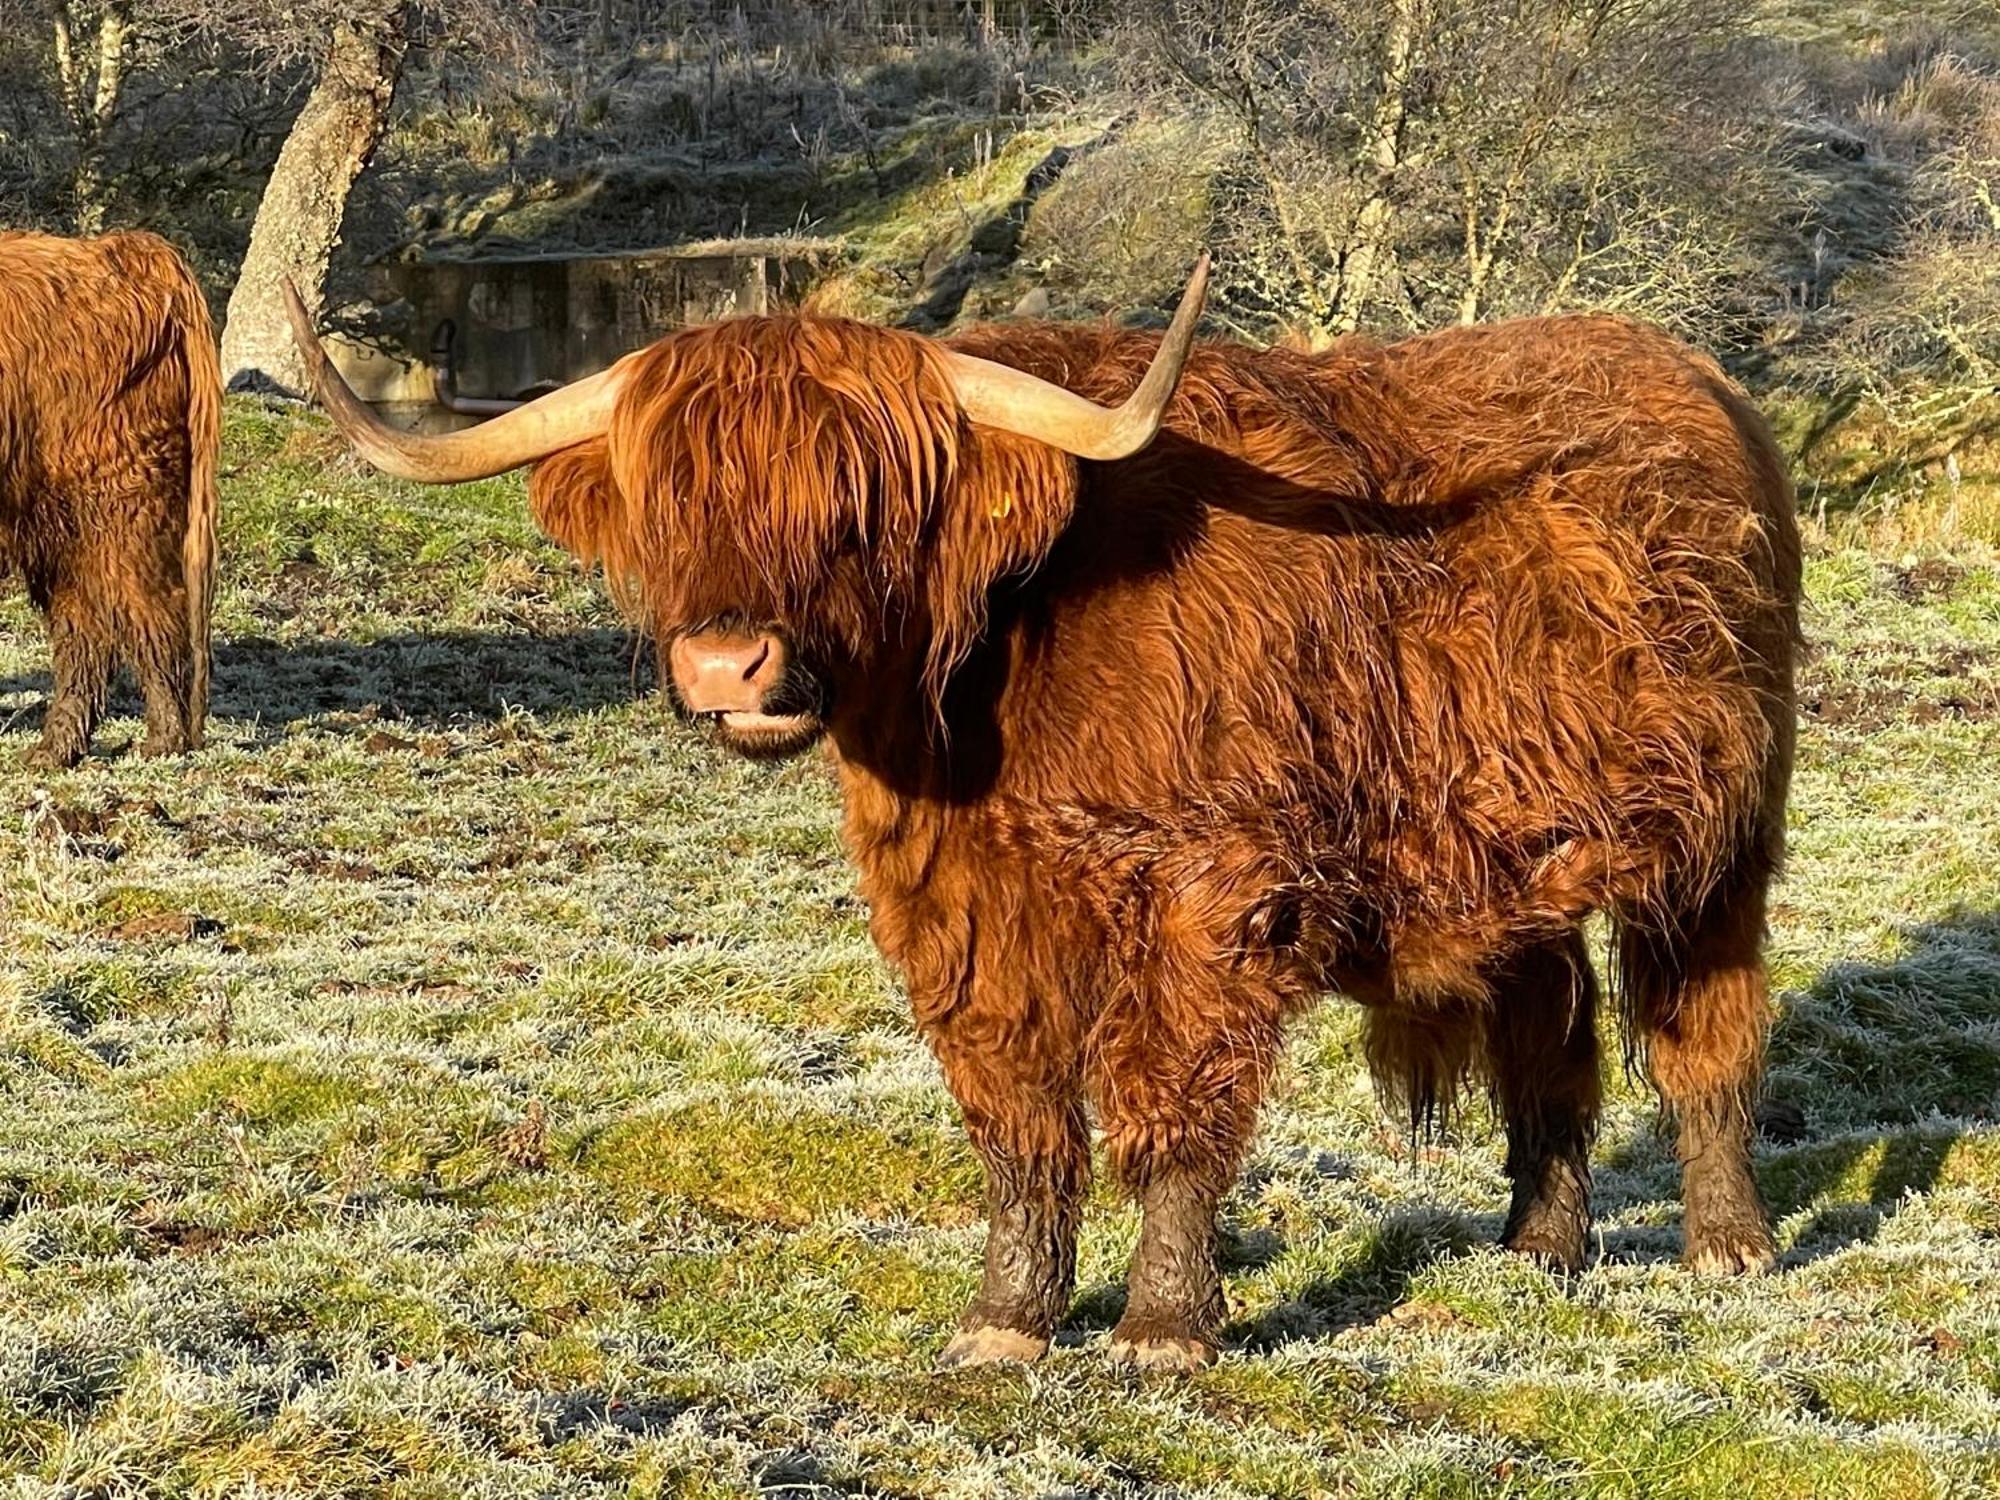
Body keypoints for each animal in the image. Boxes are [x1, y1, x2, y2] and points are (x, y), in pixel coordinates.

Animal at [1, 238, 222, 776]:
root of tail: (131, 248)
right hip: (64, 522)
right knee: (87, 623)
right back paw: (58, 749)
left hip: (114, 499)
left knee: (143, 613)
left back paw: (162, 740)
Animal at [290, 258, 1808, 1376]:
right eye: (673, 507)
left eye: (858, 505)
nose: (728, 666)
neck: (995, 680)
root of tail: (1694, 379)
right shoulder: (961, 908)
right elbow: (1015, 1117)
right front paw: (1007, 1322)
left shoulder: (1208, 896)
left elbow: (1169, 1105)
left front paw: (1161, 1330)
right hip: (1512, 849)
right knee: (1548, 1030)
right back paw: (1539, 1245)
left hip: (1721, 834)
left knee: (1702, 1023)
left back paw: (1728, 1242)